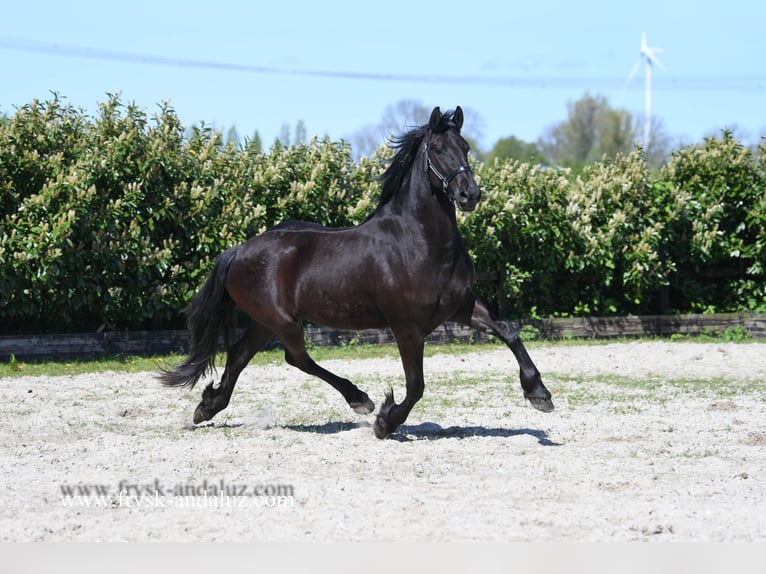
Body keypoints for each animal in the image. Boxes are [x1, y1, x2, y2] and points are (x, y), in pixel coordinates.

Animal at [162, 108, 556, 438]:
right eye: (438, 149)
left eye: (466, 147)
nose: (469, 194)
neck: (420, 243)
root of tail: (238, 251)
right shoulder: (406, 326)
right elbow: (416, 385)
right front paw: (385, 421)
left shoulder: (461, 307)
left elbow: (509, 331)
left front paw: (540, 394)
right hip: (281, 321)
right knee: (296, 358)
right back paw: (360, 400)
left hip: (265, 321)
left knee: (241, 355)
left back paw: (207, 407)